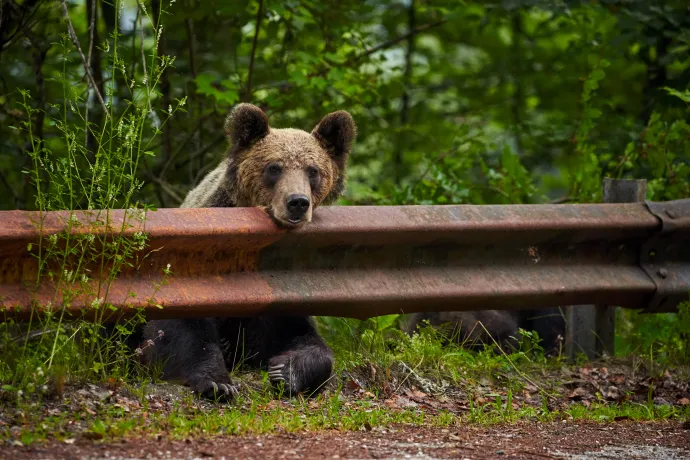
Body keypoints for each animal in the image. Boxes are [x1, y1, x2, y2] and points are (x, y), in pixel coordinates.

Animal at [128, 102, 354, 400]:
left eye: (312, 170)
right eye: (274, 167)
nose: (297, 202)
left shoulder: (279, 294)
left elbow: (306, 339)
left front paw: (287, 371)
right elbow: (180, 328)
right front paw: (217, 381)